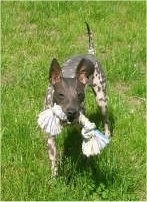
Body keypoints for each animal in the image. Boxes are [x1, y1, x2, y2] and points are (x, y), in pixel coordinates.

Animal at [43, 22, 110, 176]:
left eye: (80, 94)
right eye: (61, 94)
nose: (72, 112)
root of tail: (89, 53)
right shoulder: (51, 138)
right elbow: (53, 159)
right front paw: (54, 177)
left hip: (101, 98)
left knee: (106, 119)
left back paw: (108, 135)